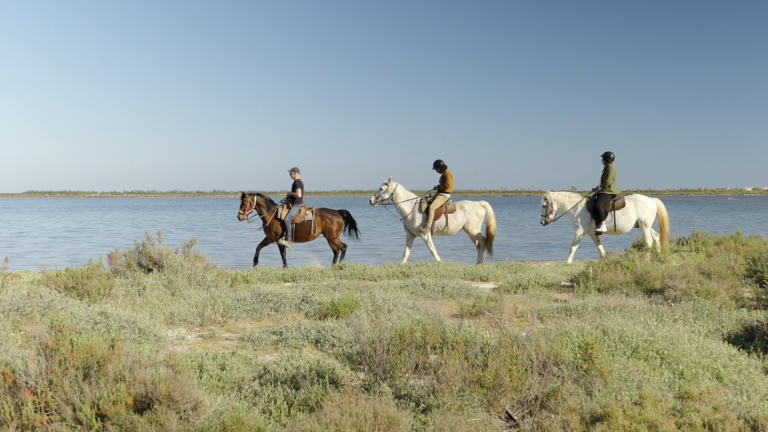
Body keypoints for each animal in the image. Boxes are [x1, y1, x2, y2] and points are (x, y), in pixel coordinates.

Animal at [370, 177, 498, 264]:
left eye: (381, 188)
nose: (371, 200)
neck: (411, 208)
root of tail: (479, 203)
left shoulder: (425, 235)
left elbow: (432, 250)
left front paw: (441, 263)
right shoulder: (410, 235)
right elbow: (406, 253)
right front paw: (401, 266)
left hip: (473, 231)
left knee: (483, 243)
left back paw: (479, 263)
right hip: (470, 232)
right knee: (479, 246)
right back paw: (479, 263)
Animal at [536, 192, 668, 264]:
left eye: (544, 205)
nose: (542, 222)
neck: (578, 208)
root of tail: (651, 200)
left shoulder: (579, 232)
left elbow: (572, 248)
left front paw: (567, 262)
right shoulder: (592, 233)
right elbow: (600, 248)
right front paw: (606, 260)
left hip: (644, 226)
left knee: (649, 241)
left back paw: (646, 259)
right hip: (644, 226)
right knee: (656, 237)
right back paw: (658, 256)